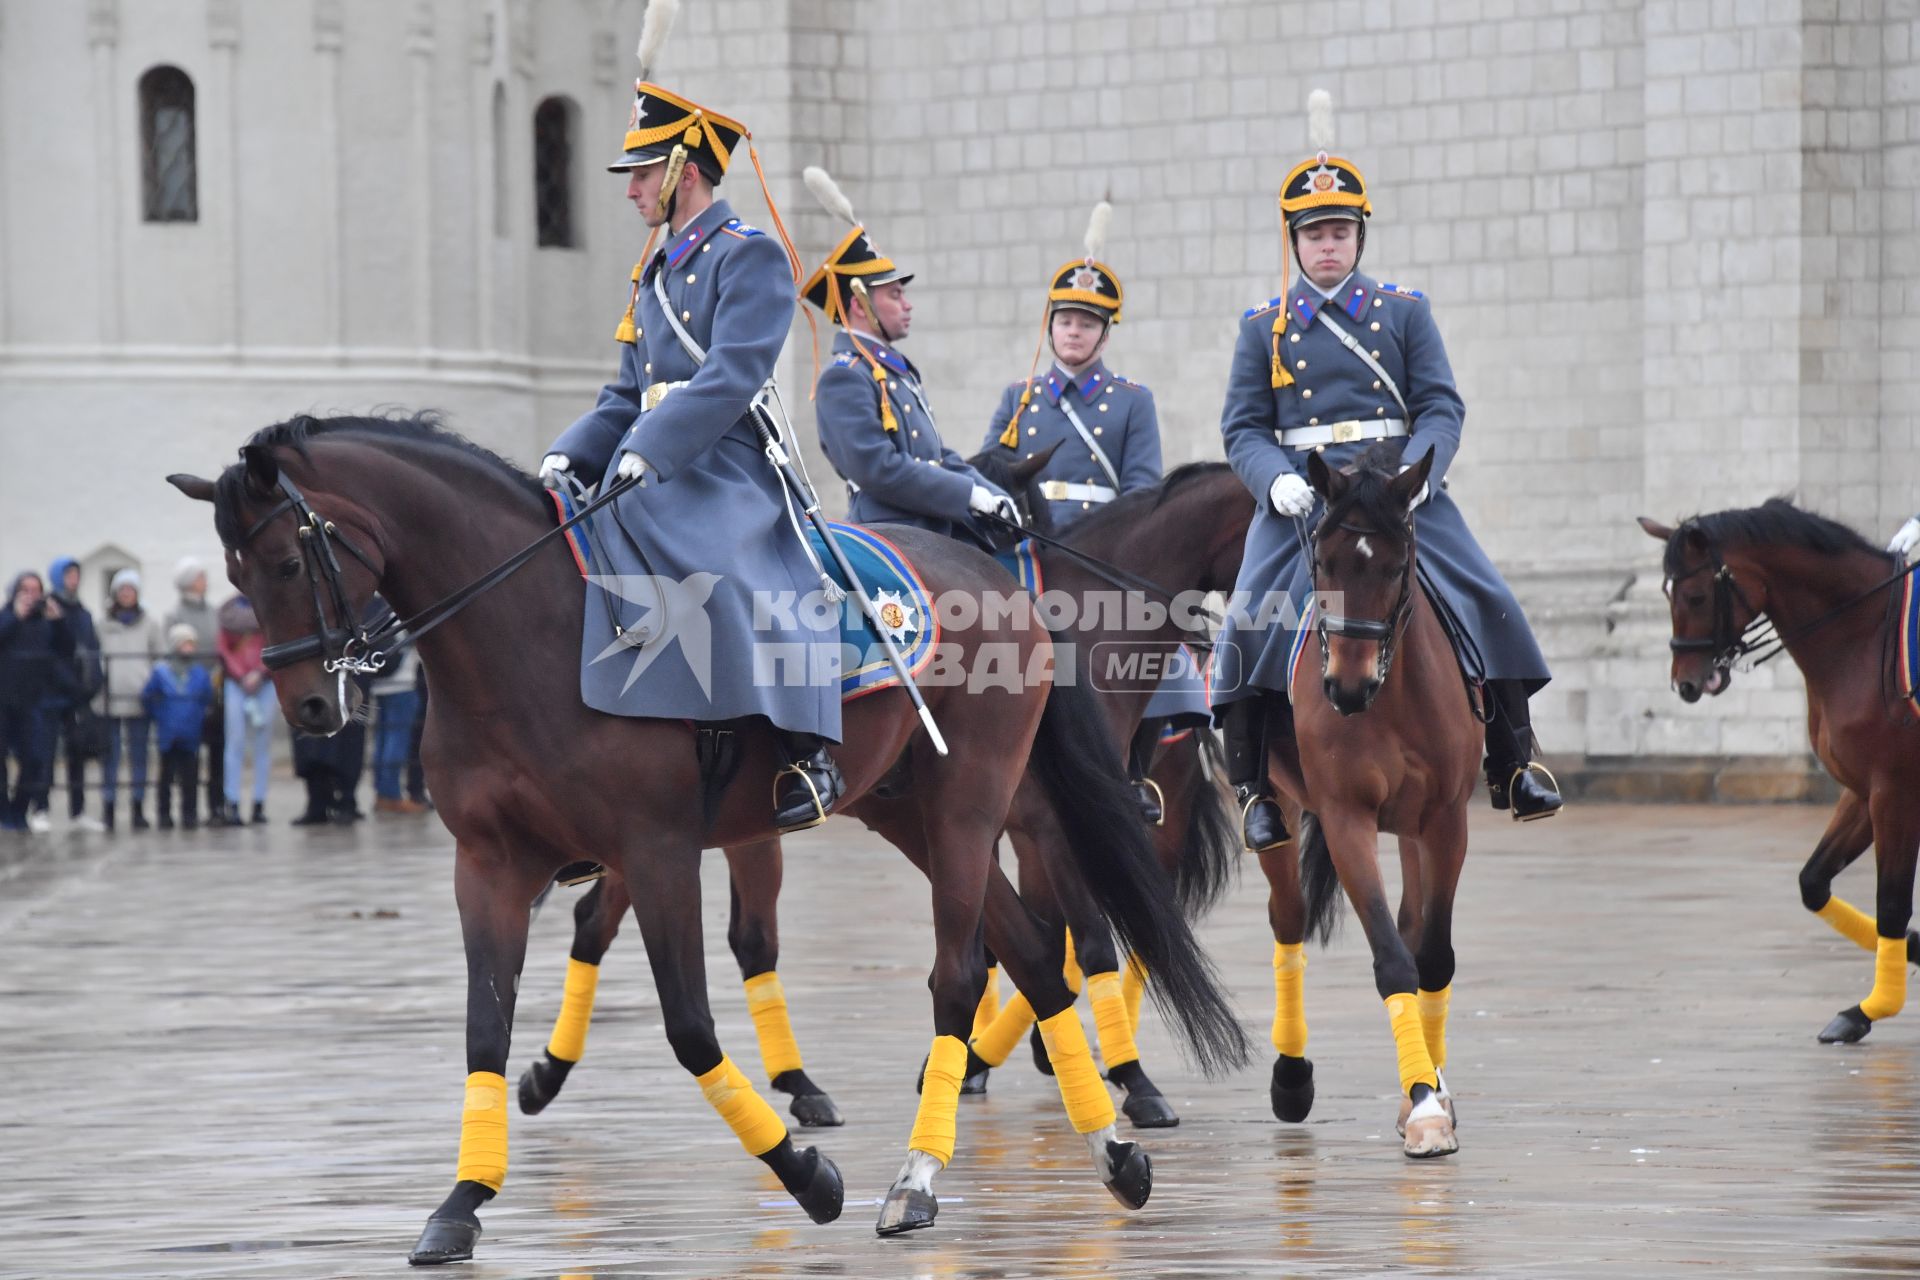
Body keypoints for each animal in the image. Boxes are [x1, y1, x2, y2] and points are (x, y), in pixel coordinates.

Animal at [165, 418, 1244, 1258]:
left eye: (287, 560)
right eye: (234, 572)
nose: (309, 705)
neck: (532, 636)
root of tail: (996, 577)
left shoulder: (657, 848)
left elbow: (689, 1026)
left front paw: (808, 1175)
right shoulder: (490, 865)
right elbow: (484, 1025)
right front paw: (462, 1202)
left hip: (970, 803)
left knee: (967, 968)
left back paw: (921, 1176)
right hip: (907, 809)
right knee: (1028, 952)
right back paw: (1113, 1154)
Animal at [1267, 450, 1474, 1159]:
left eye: (1394, 565)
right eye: (1323, 564)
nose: (1346, 689)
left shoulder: (1444, 820)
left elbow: (1430, 954)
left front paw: (1430, 1095)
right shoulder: (1344, 818)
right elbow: (1391, 958)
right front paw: (1423, 1102)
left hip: (1412, 829)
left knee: (1414, 922)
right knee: (1288, 918)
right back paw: (1291, 1075)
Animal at [1635, 498, 1920, 1043]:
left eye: (1697, 596)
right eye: (1665, 594)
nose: (1686, 684)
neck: (1863, 635)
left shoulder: (1895, 792)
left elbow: (1892, 903)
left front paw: (1872, 1006)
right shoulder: (1861, 792)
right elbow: (1814, 883)